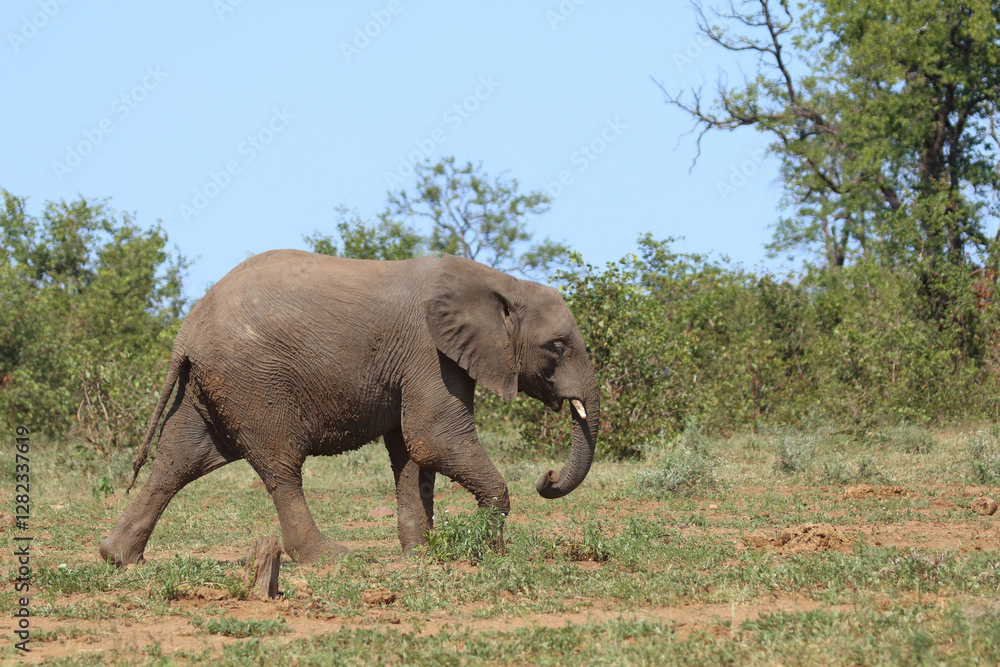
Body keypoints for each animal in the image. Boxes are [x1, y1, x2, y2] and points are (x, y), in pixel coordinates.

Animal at [99, 250, 600, 565]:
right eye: (557, 347)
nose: (547, 477)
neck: (500, 283)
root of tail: (186, 329)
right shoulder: (429, 353)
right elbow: (434, 439)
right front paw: (486, 551)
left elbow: (410, 453)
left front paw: (420, 555)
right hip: (254, 381)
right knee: (280, 467)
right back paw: (328, 558)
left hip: (207, 385)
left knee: (178, 461)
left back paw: (118, 558)